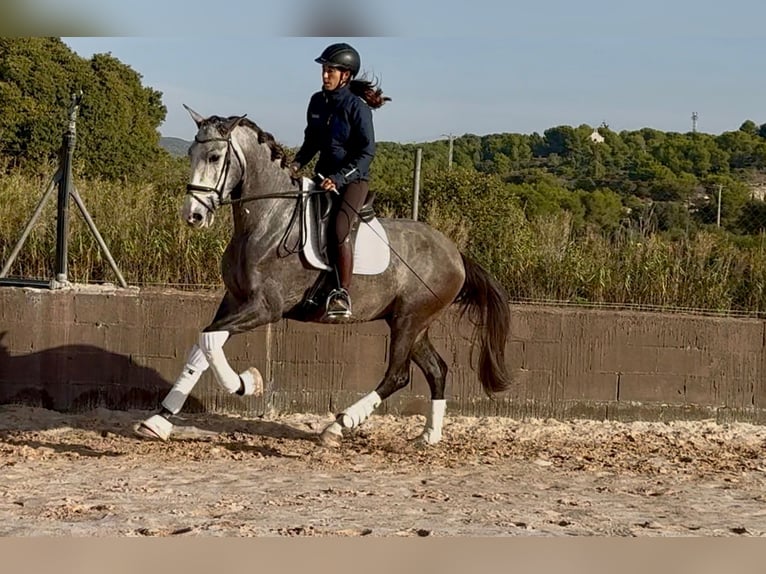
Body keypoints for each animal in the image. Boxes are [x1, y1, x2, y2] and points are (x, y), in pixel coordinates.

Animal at [135, 105, 511, 447]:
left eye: (214, 157)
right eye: (190, 153)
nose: (193, 215)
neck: (267, 220)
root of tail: (455, 253)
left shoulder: (265, 308)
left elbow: (210, 341)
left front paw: (246, 384)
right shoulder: (235, 300)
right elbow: (203, 345)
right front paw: (158, 421)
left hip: (410, 320)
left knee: (398, 374)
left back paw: (338, 426)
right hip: (411, 323)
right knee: (436, 370)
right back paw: (428, 437)